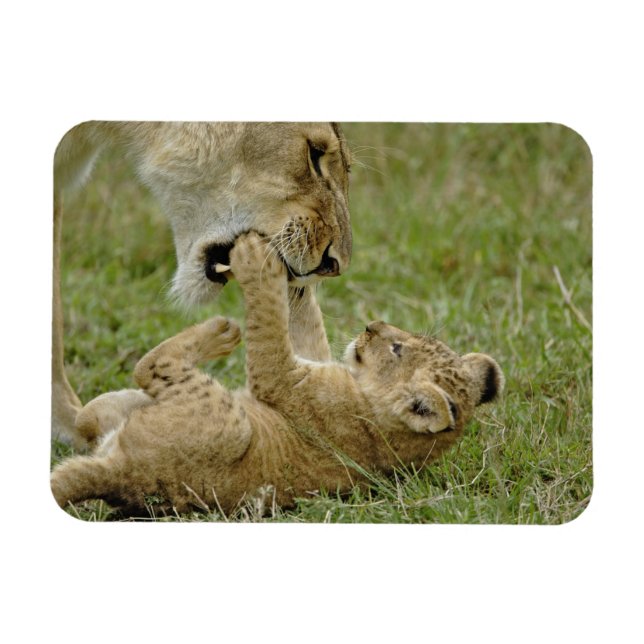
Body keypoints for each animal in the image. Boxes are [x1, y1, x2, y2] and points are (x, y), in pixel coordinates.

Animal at [51, 232, 504, 518]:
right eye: (406, 339)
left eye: (396, 349)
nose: (372, 326)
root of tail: (126, 476)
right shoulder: (314, 361)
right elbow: (305, 324)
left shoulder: (284, 379)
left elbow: (269, 325)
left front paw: (257, 259)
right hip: (117, 410)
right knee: (87, 419)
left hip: (229, 425)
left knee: (150, 365)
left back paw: (221, 331)